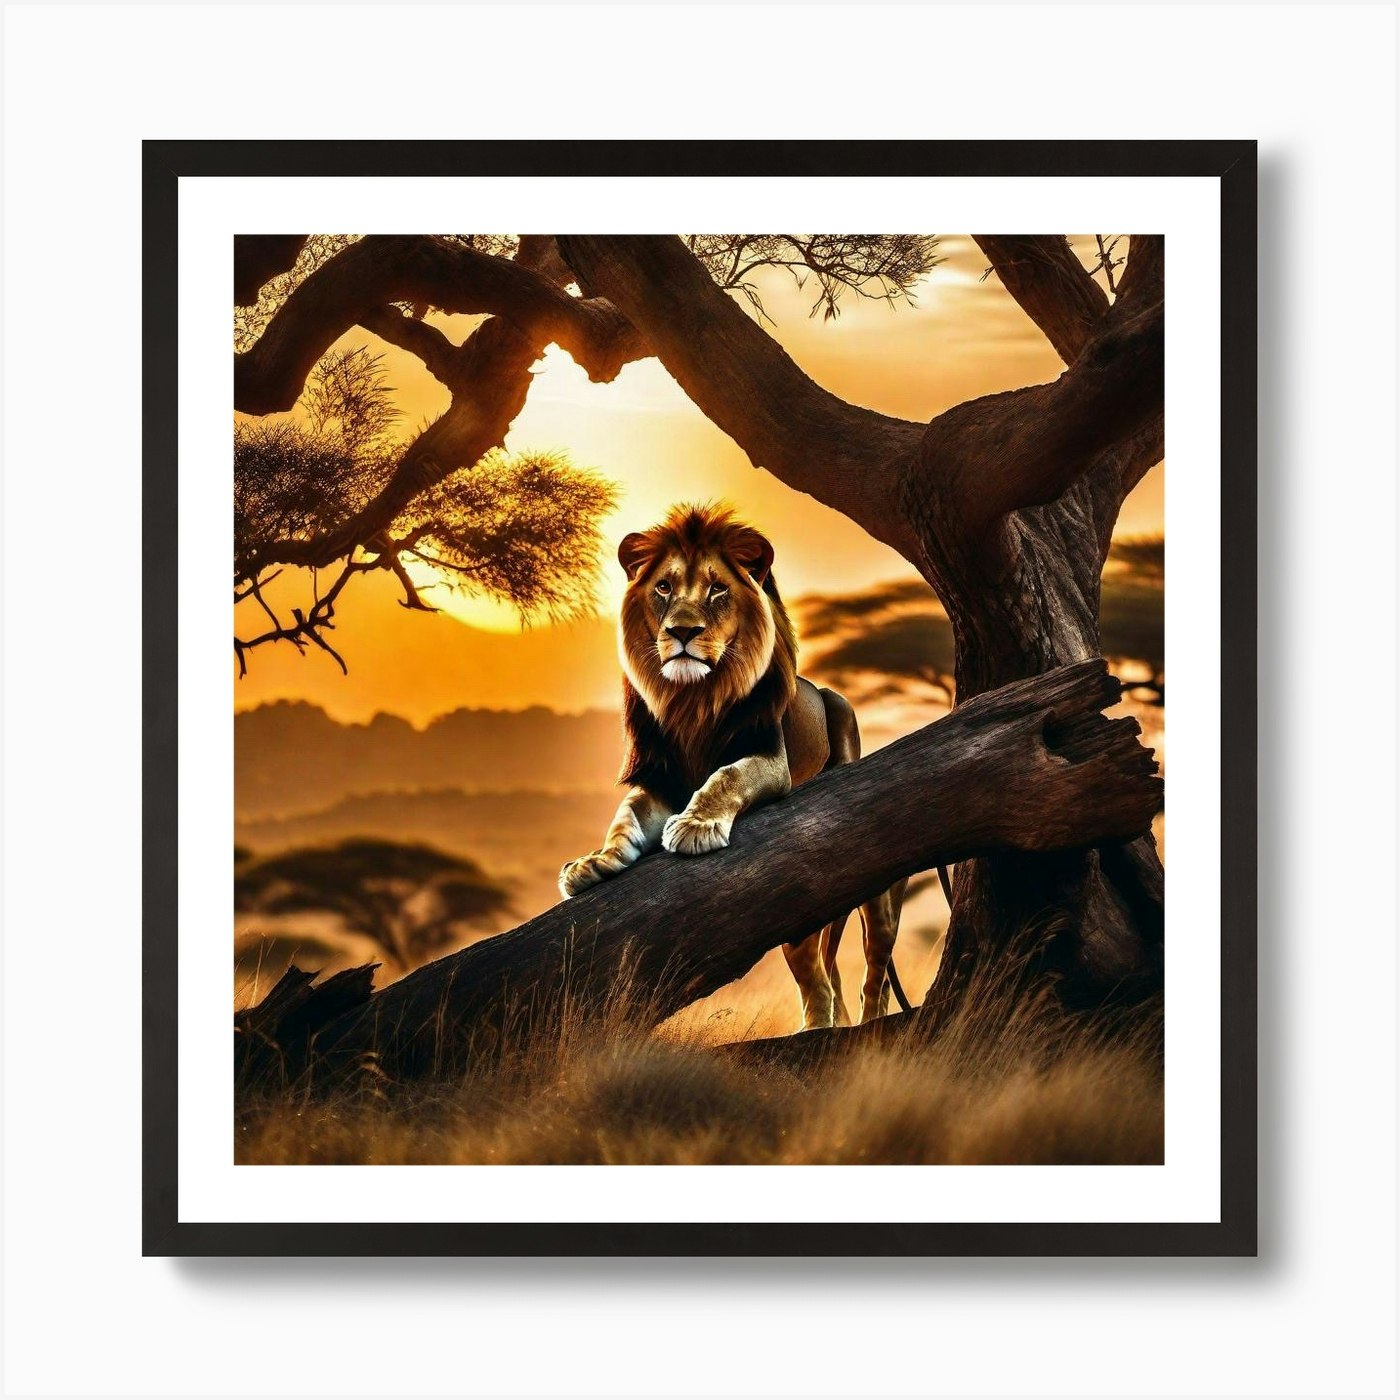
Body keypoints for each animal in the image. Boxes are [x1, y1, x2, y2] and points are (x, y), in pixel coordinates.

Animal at [558, 503, 907, 1030]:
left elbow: (727, 777)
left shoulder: (769, 759)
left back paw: (868, 1022)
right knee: (820, 976)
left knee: (876, 959)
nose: (682, 632)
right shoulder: (660, 781)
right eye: (664, 587)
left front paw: (696, 828)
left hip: (844, 716)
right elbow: (625, 816)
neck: (693, 699)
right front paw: (594, 862)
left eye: (717, 589)